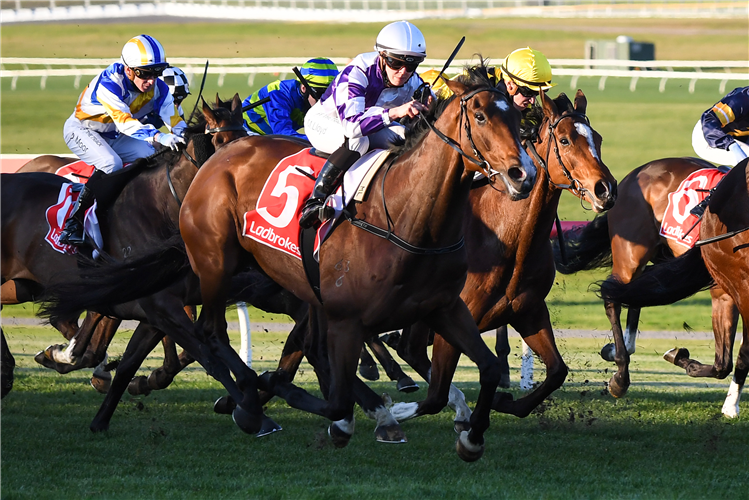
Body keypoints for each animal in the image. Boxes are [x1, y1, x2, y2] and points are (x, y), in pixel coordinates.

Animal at [178, 67, 536, 460]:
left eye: (517, 118)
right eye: (481, 116)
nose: (524, 174)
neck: (409, 220)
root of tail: (222, 155)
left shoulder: (444, 307)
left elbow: (480, 373)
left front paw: (470, 436)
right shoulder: (347, 321)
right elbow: (337, 402)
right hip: (215, 263)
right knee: (211, 330)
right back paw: (250, 404)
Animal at [556, 156, 736, 398]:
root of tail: (636, 172)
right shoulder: (722, 293)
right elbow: (723, 364)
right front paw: (678, 355)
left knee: (634, 293)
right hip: (631, 255)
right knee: (613, 295)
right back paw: (620, 375)